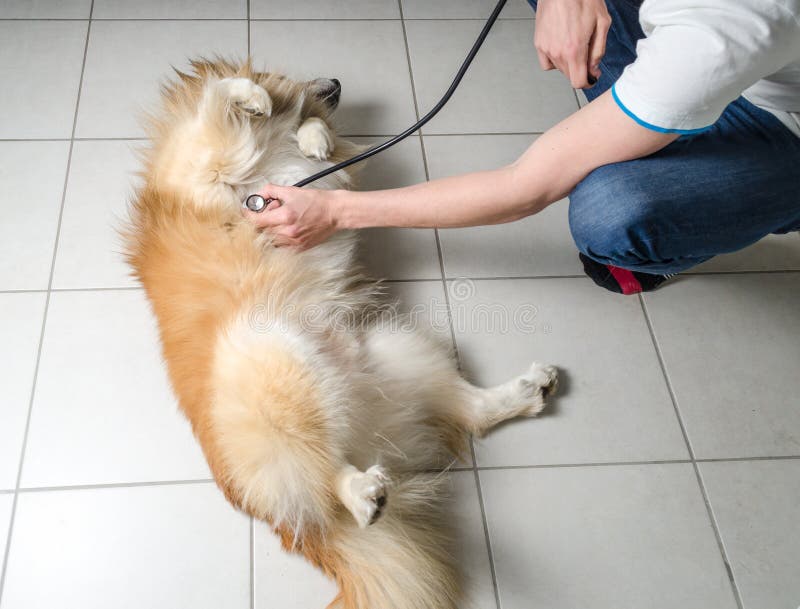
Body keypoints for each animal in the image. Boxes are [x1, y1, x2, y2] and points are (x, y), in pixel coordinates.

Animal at [125, 59, 556, 608]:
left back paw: (528, 390)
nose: (337, 82)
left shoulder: (324, 190)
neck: (269, 141)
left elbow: (313, 136)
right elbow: (222, 93)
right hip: (278, 365)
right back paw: (361, 495)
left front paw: (315, 138)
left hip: (397, 349)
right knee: (324, 474)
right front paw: (255, 98)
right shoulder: (202, 159)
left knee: (470, 411)